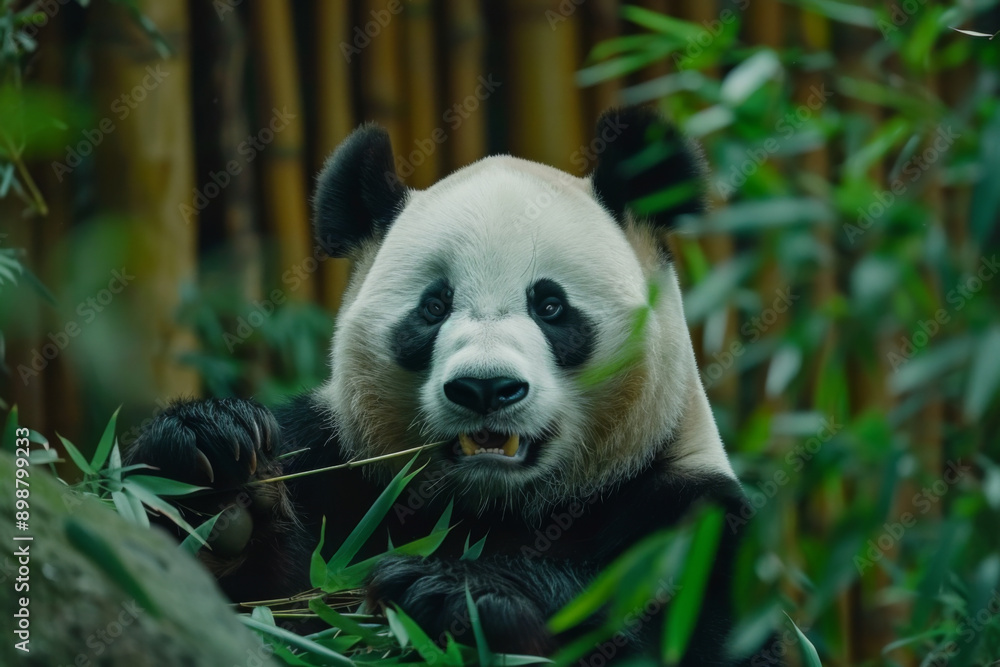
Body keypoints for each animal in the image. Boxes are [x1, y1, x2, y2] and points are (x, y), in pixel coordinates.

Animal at [126, 106, 760, 665]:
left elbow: (668, 634)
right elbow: (249, 608)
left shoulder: (688, 515)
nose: (486, 388)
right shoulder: (340, 461)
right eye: (433, 307)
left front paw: (453, 594)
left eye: (551, 305)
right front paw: (213, 463)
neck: (493, 505)